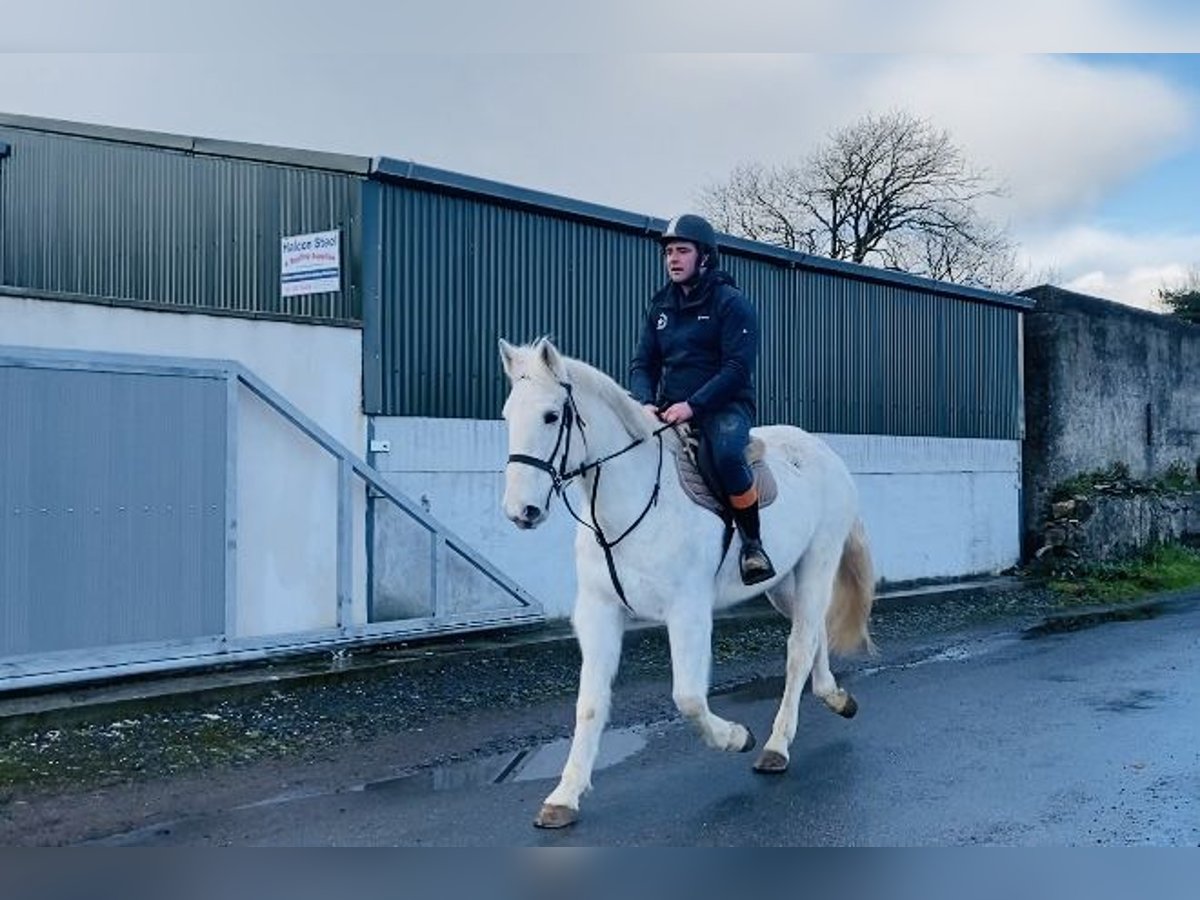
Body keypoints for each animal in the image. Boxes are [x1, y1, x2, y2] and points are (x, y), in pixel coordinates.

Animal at [496, 338, 873, 830]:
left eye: (550, 415)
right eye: (508, 415)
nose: (520, 511)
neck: (630, 503)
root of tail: (825, 453)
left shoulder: (688, 612)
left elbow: (689, 697)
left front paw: (736, 737)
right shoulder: (598, 612)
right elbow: (590, 703)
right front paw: (564, 797)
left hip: (817, 563)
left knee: (798, 647)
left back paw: (776, 747)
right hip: (782, 583)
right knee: (812, 635)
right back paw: (834, 697)